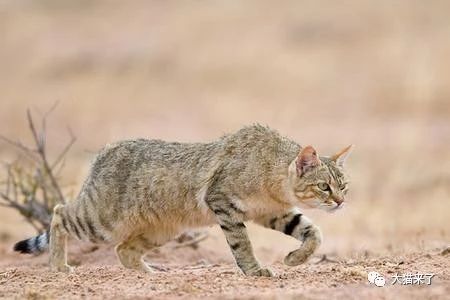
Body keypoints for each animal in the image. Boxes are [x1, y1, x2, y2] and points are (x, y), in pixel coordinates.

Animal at [13, 124, 352, 276]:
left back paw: (148, 274)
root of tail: (106, 150)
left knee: (124, 250)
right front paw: (255, 270)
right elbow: (242, 244)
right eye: (324, 187)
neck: (273, 175)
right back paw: (58, 265)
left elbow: (313, 232)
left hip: (161, 230)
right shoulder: (223, 202)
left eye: (344, 187)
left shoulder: (273, 213)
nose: (339, 202)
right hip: (102, 221)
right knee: (59, 212)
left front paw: (295, 258)